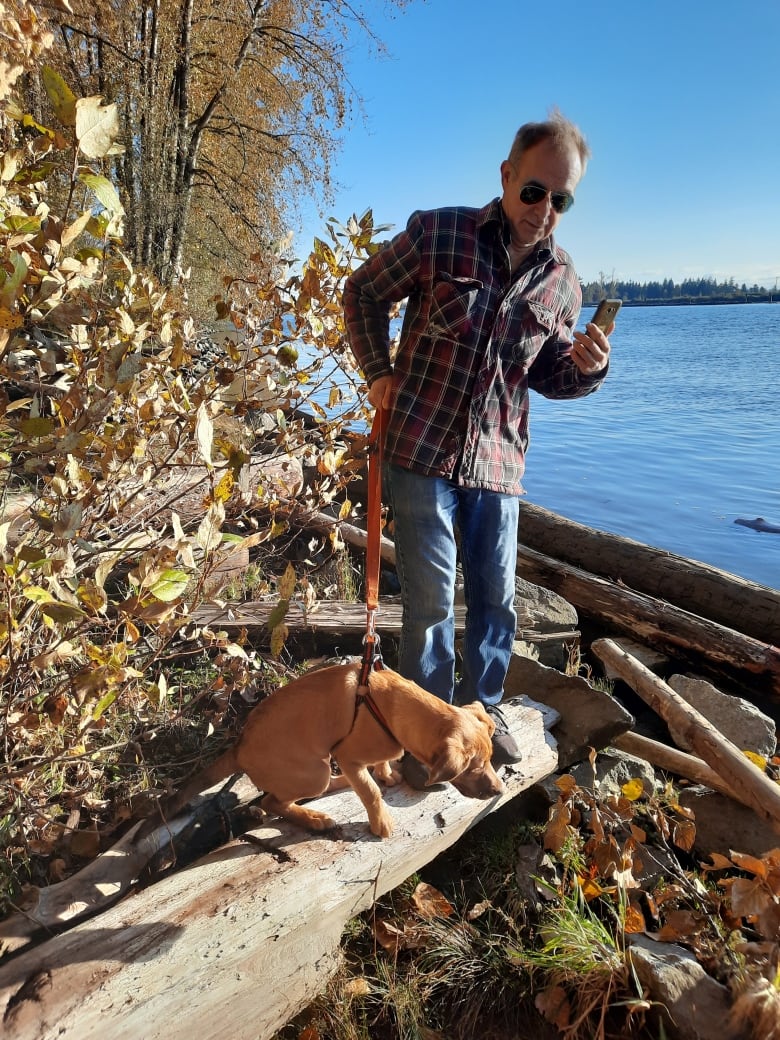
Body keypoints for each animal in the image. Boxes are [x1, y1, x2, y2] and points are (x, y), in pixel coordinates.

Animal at [145, 661, 507, 840]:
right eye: (474, 768)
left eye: (491, 760)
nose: (500, 791)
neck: (389, 705)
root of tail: (238, 748)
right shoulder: (349, 756)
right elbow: (372, 794)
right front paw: (380, 823)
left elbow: (382, 768)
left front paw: (386, 774)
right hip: (313, 771)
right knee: (271, 802)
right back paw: (315, 819)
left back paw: (342, 786)